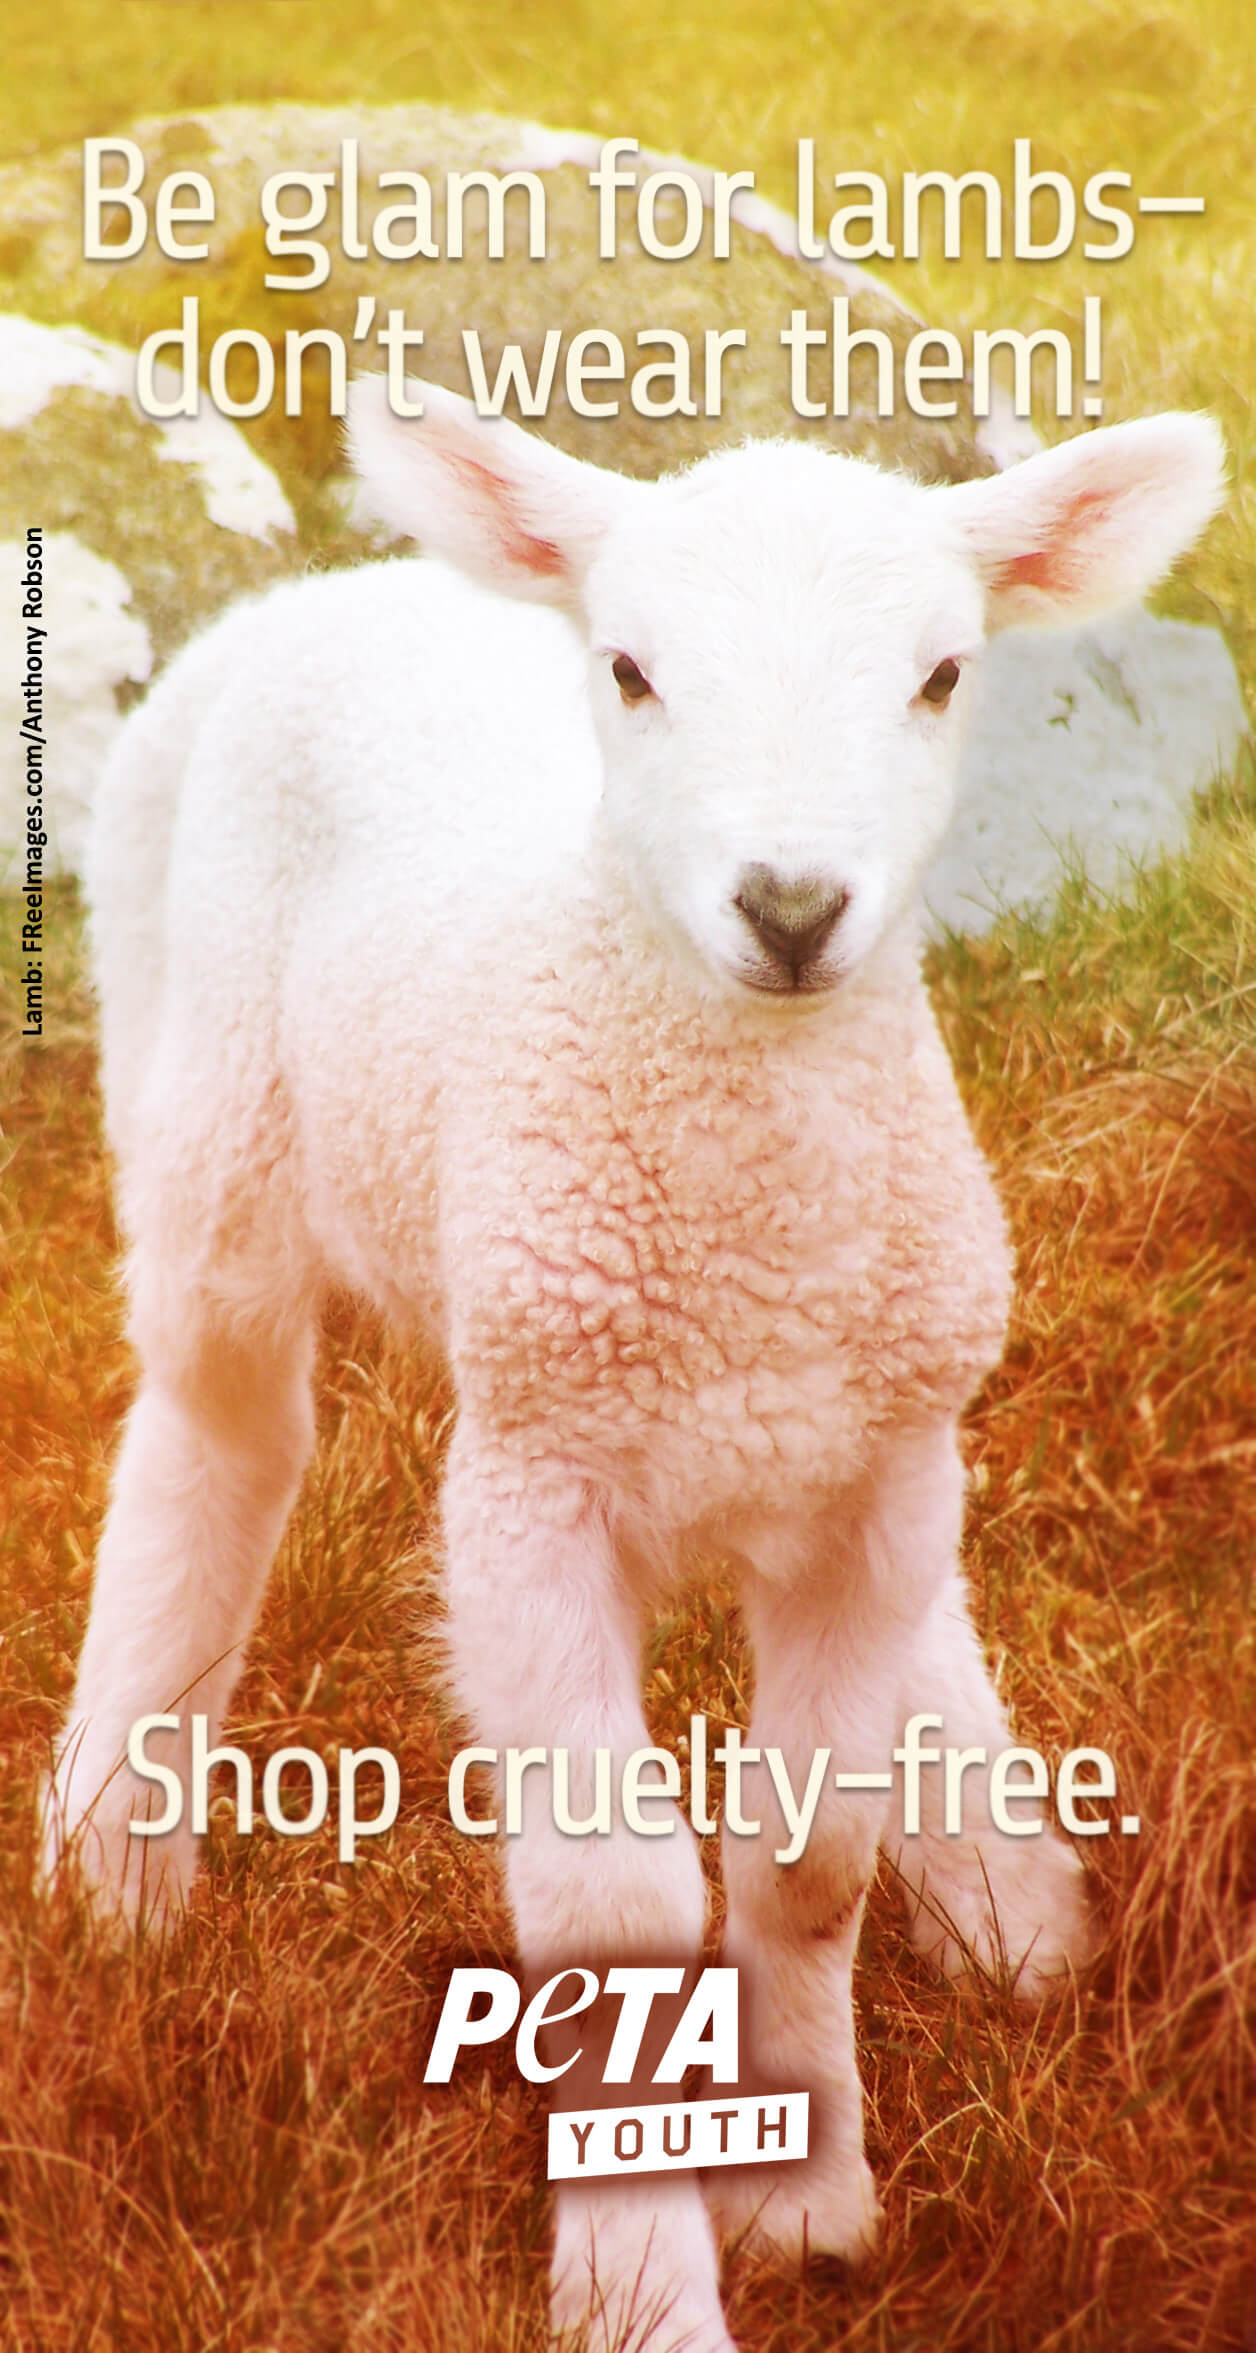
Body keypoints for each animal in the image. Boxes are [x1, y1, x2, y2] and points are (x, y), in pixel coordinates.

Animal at [46, 380, 1224, 2353]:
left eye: (942, 674)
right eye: (630, 668)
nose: (793, 904)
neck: (746, 1240)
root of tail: (349, 586)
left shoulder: (875, 1471)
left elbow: (810, 1864)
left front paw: (806, 2200)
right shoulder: (536, 1487)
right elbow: (611, 1912)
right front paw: (640, 2290)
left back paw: (1005, 1885)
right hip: (199, 1110)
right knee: (217, 1442)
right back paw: (112, 1870)